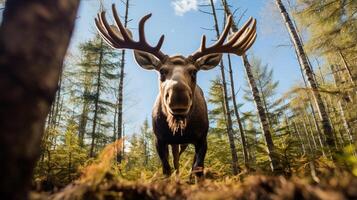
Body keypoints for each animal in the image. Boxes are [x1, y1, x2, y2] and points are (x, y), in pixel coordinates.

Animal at [94, 3, 256, 177]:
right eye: (162, 71)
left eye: (194, 72)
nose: (178, 96)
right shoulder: (159, 140)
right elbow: (167, 169)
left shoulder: (202, 139)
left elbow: (197, 168)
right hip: (174, 144)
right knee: (176, 160)